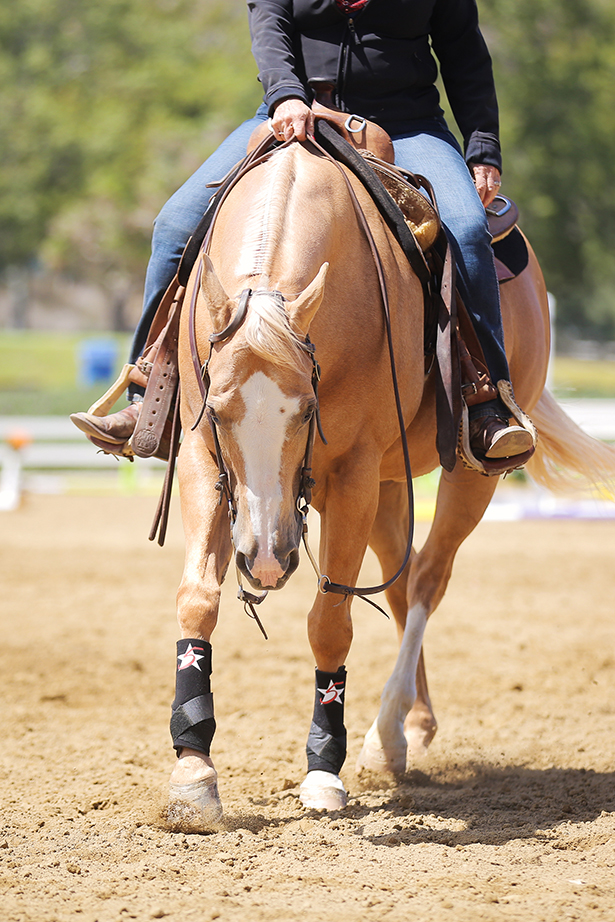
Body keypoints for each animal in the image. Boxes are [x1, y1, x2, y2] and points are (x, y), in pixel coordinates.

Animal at [168, 133, 615, 824]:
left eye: (307, 410)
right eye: (218, 410)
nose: (265, 560)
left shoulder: (351, 473)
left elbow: (330, 621)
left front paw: (324, 772)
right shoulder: (203, 456)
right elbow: (198, 598)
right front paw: (193, 773)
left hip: (464, 477)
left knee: (428, 577)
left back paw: (385, 736)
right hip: (388, 485)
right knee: (403, 587)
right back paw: (411, 727)